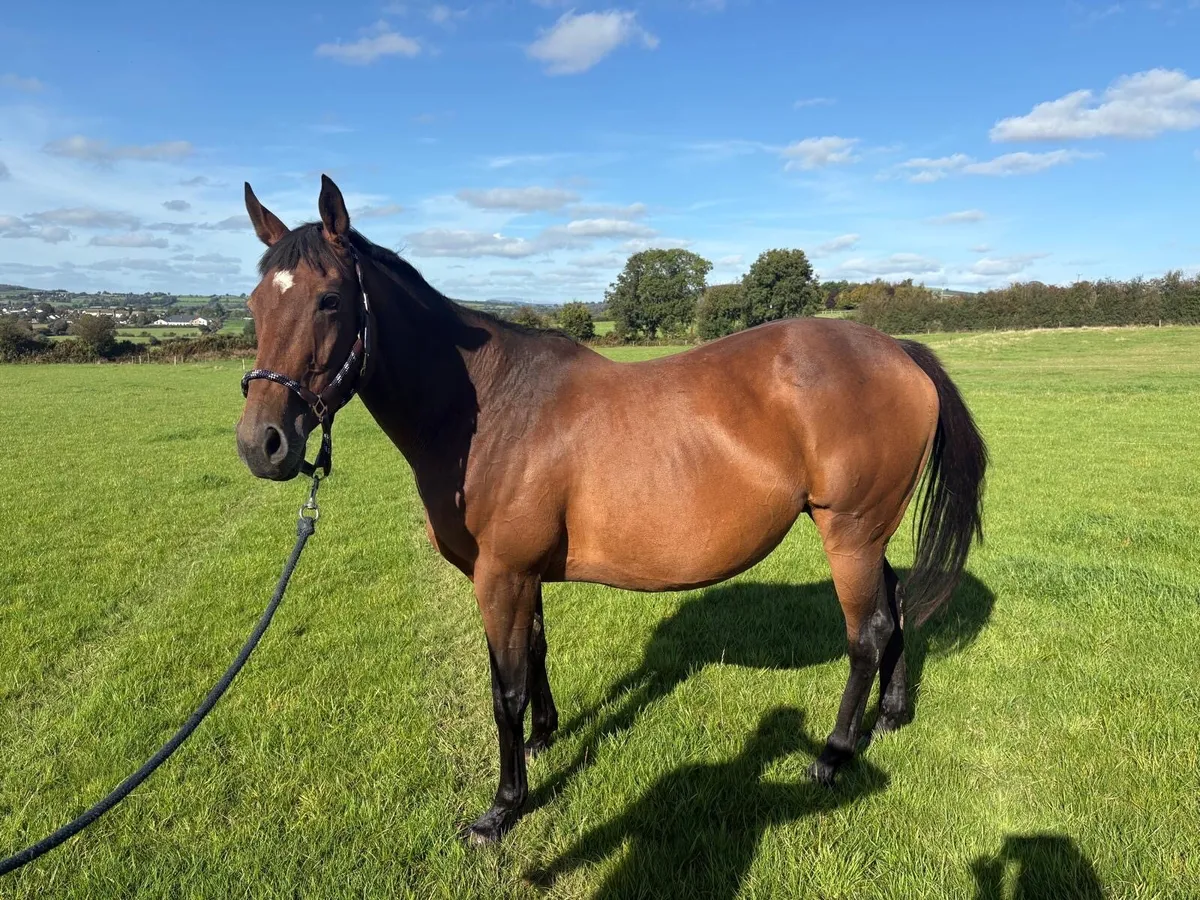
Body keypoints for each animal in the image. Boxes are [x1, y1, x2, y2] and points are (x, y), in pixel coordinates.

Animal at [235, 175, 987, 844]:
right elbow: (534, 655)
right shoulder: (522, 576)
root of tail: (897, 351)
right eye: (253, 302)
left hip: (849, 533)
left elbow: (504, 690)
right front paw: (544, 739)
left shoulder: (500, 576)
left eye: (331, 299)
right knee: (894, 608)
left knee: (867, 633)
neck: (490, 408)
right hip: (866, 533)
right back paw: (888, 716)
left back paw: (833, 753)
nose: (262, 443)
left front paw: (502, 809)